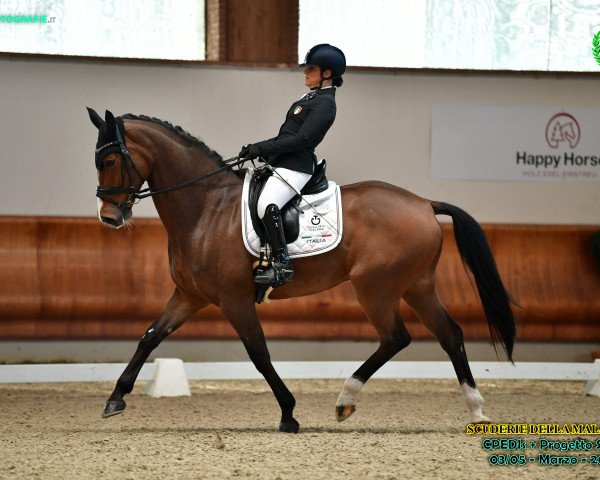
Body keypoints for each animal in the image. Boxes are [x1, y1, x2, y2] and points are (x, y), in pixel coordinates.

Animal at [86, 108, 512, 432]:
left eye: (109, 160)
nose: (108, 217)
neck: (207, 209)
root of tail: (424, 202)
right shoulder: (190, 296)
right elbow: (150, 337)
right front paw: (115, 399)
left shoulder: (234, 299)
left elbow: (259, 353)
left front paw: (288, 413)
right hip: (416, 287)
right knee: (450, 335)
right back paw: (475, 409)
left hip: (376, 287)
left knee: (396, 337)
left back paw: (346, 399)